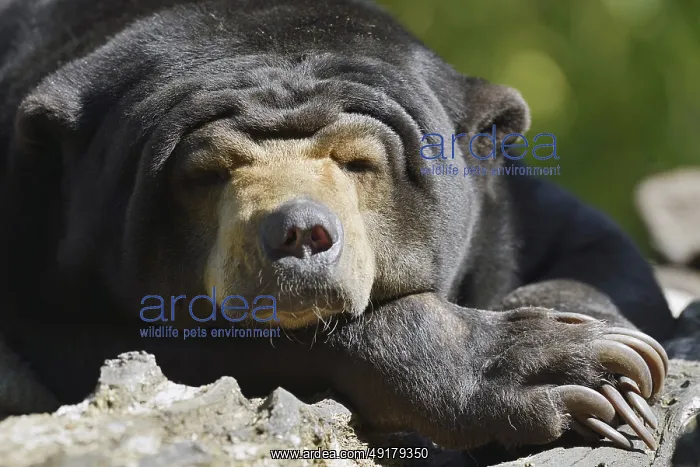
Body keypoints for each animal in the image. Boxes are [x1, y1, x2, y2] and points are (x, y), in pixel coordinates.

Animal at [0, 0, 673, 454]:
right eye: (206, 174)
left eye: (359, 162)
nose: (299, 231)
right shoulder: (42, 265)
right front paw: (558, 366)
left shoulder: (513, 204)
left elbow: (595, 251)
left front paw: (616, 373)